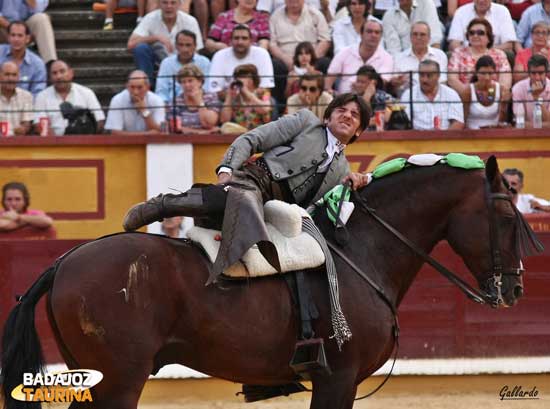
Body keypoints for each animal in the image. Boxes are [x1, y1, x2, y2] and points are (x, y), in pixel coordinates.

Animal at [1, 155, 544, 406]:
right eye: (505, 215)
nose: (516, 288)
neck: (359, 250)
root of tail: (65, 261)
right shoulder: (337, 377)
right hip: (120, 379)